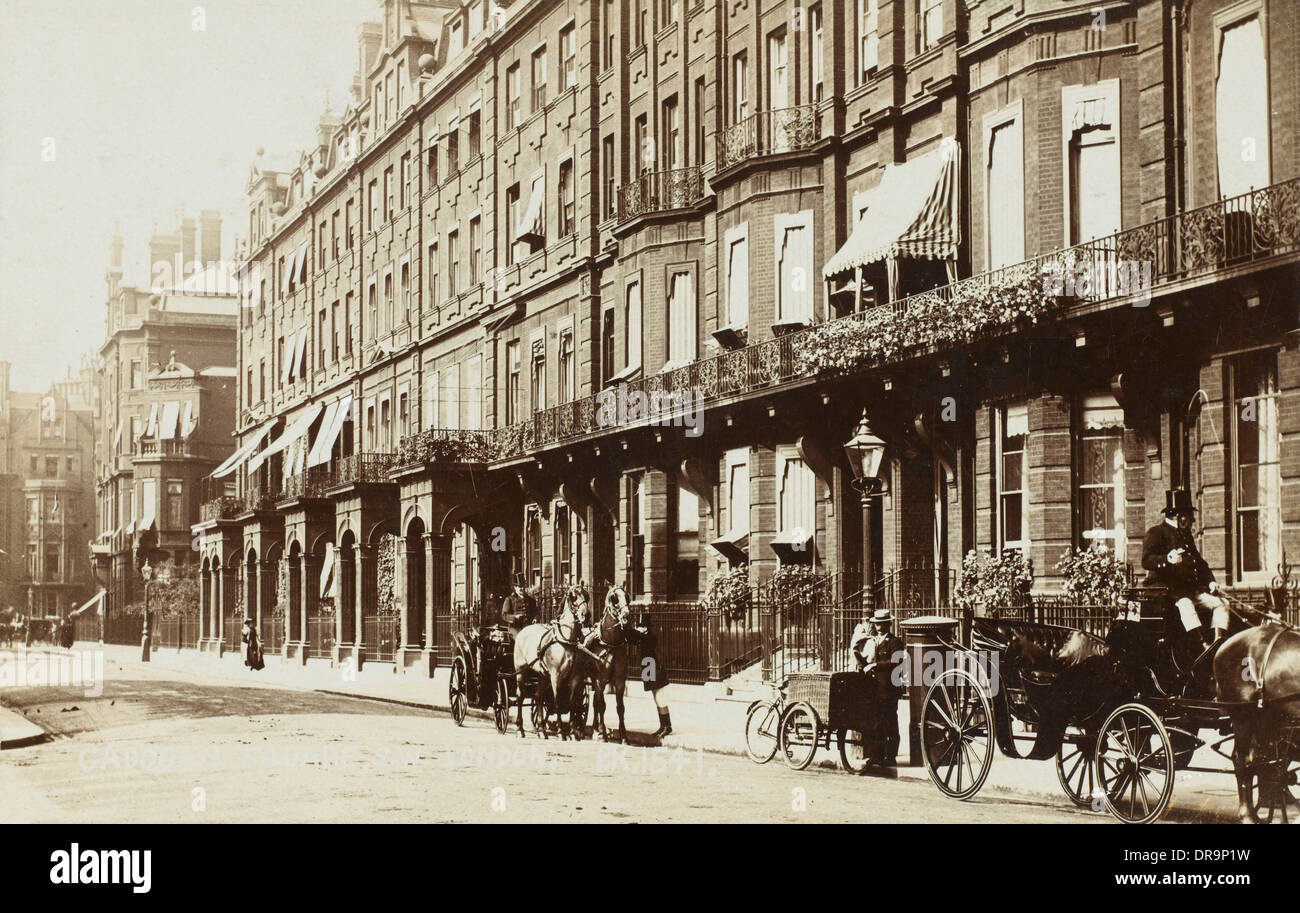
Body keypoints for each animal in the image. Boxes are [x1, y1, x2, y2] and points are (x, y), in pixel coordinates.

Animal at [509, 587, 592, 743]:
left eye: (586, 596)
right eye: (573, 597)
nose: (586, 614)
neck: (566, 640)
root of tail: (524, 630)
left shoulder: (575, 677)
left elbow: (572, 703)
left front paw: (572, 732)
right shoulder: (556, 676)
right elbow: (557, 701)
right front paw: (561, 732)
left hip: (542, 675)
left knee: (538, 697)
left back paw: (542, 730)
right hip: (522, 671)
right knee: (520, 696)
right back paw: (520, 729)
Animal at [587, 587, 637, 743]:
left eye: (627, 597)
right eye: (614, 598)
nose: (626, 615)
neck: (611, 644)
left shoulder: (620, 681)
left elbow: (620, 707)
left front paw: (624, 736)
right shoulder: (600, 680)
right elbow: (602, 705)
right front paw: (603, 734)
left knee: (594, 702)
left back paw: (595, 729)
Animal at [1206, 626, 1300, 827]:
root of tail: (1223, 646)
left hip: (1263, 719)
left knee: (1259, 760)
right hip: (1243, 715)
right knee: (1242, 760)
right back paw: (1247, 815)